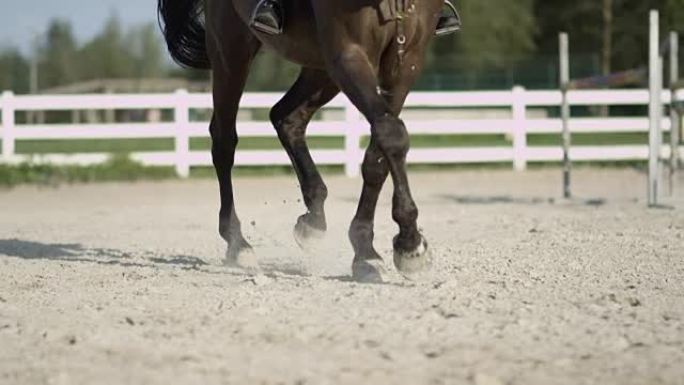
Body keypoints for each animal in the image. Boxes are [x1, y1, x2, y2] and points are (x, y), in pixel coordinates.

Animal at [158, 0, 440, 280]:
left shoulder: (406, 63)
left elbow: (378, 155)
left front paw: (369, 250)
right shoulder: (349, 53)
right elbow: (391, 134)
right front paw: (409, 245)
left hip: (320, 67)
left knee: (286, 118)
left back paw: (313, 219)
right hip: (231, 50)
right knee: (224, 141)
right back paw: (238, 244)